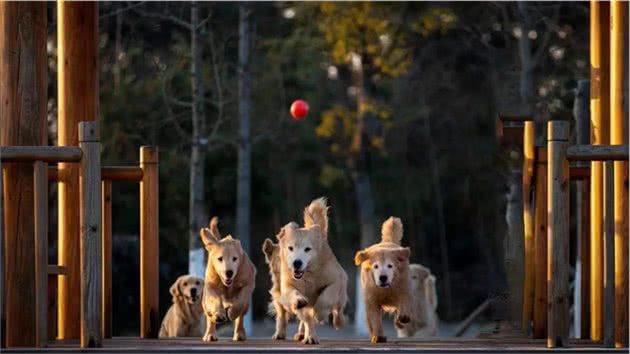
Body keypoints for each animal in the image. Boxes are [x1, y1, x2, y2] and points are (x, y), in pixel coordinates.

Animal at [278, 198, 350, 344]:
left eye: (307, 249)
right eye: (290, 248)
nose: (297, 263)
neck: (309, 275)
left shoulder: (337, 279)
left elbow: (326, 296)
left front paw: (320, 314)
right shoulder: (288, 283)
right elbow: (293, 294)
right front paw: (299, 301)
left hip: (341, 296)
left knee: (338, 309)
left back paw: (338, 322)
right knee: (306, 320)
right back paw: (307, 336)